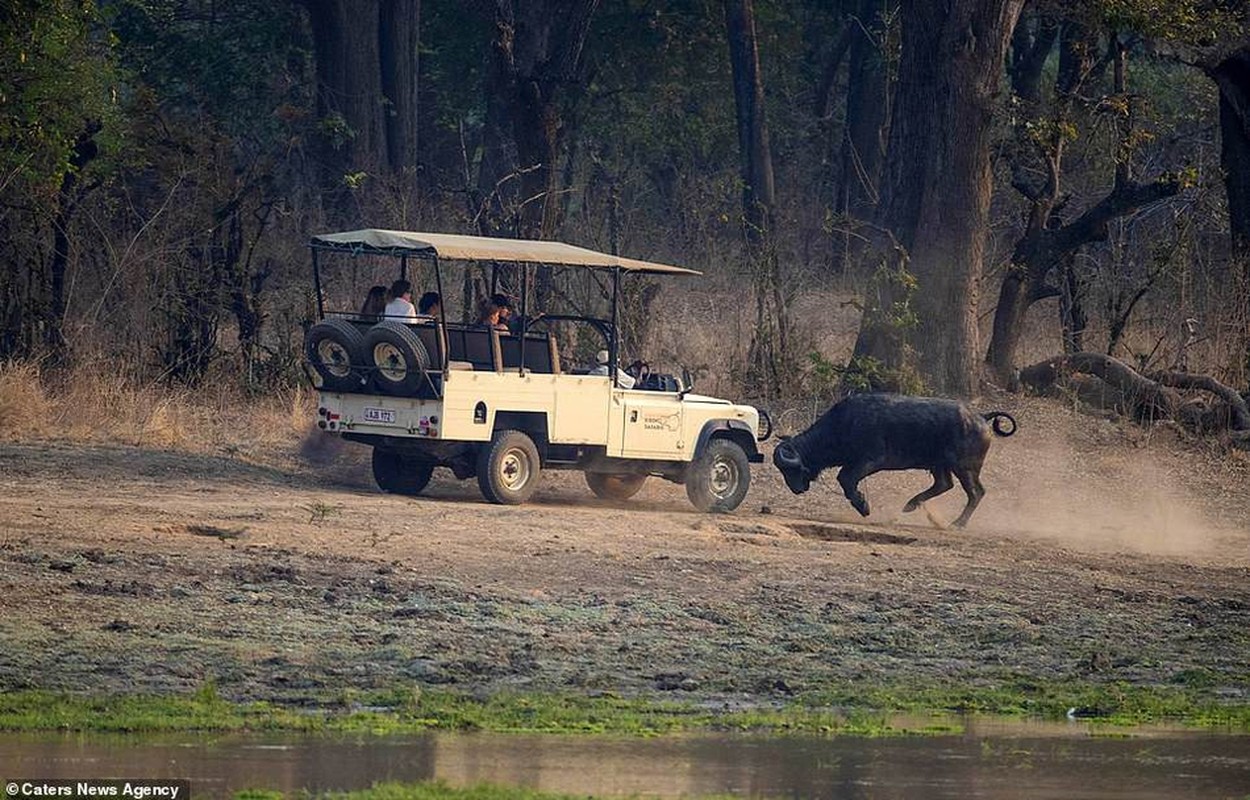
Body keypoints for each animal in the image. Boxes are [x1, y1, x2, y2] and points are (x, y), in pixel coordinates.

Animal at [770, 392, 1015, 527]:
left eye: (790, 469)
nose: (796, 489)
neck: (843, 425)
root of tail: (980, 417)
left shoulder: (870, 460)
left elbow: (845, 479)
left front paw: (863, 506)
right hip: (939, 465)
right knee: (944, 484)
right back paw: (911, 505)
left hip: (965, 468)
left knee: (975, 492)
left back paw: (958, 523)